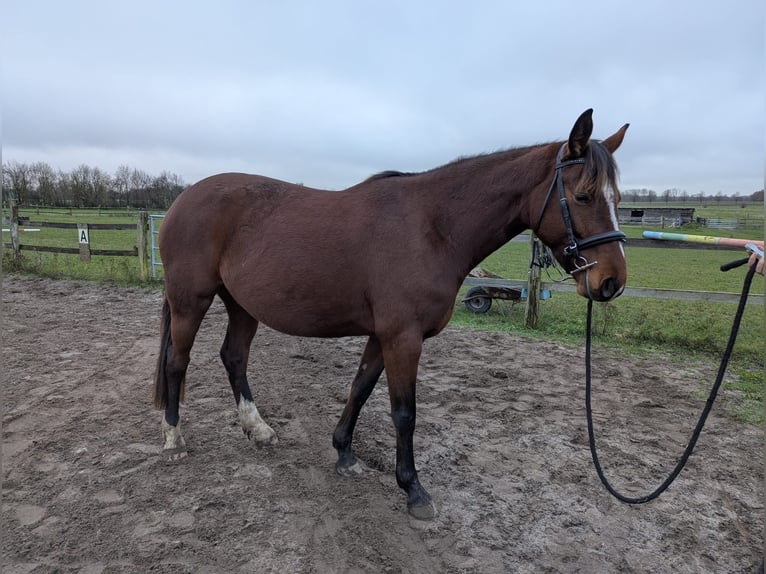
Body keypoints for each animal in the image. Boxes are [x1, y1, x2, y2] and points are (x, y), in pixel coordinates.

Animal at [154, 108, 632, 520]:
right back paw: (174, 438)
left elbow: (360, 389)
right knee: (178, 362)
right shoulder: (403, 338)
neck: (433, 227)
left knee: (233, 357)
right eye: (583, 196)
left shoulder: (381, 336)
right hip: (190, 301)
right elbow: (404, 412)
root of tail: (183, 199)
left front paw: (345, 453)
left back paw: (258, 429)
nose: (611, 281)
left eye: (617, 199)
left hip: (241, 305)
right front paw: (413, 489)